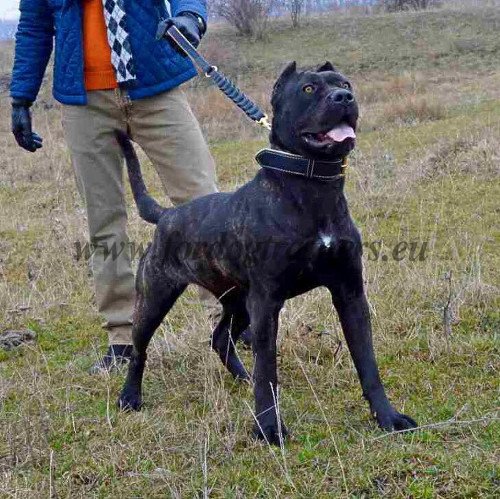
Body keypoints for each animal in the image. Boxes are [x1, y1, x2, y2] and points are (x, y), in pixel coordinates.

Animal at [117, 63, 418, 446]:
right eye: (308, 88)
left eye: (345, 83)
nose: (345, 98)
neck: (312, 188)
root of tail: (166, 215)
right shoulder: (267, 302)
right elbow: (268, 371)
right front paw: (268, 428)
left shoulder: (349, 294)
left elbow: (367, 364)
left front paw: (388, 417)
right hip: (156, 297)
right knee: (139, 350)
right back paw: (130, 396)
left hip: (238, 302)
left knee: (220, 339)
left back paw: (240, 378)